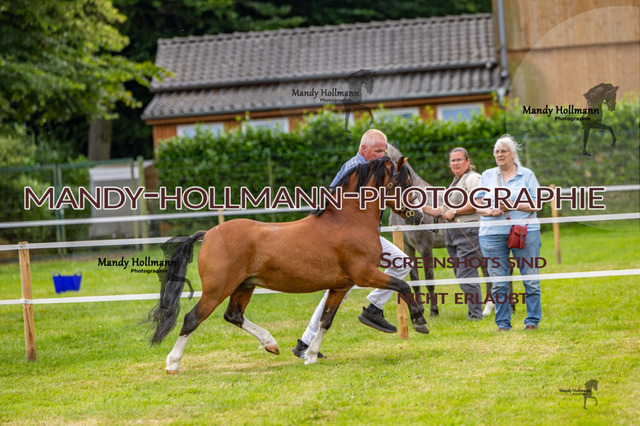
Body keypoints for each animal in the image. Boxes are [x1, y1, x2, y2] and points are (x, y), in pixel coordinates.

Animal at [147, 156, 428, 373]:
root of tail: (208, 234)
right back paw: (172, 364)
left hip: (244, 286)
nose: (418, 217)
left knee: (233, 315)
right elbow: (403, 286)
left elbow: (326, 320)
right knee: (192, 318)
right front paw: (420, 321)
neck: (348, 221)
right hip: (218, 289)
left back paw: (271, 344)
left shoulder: (341, 286)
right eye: (404, 184)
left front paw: (311, 356)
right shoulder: (365, 275)